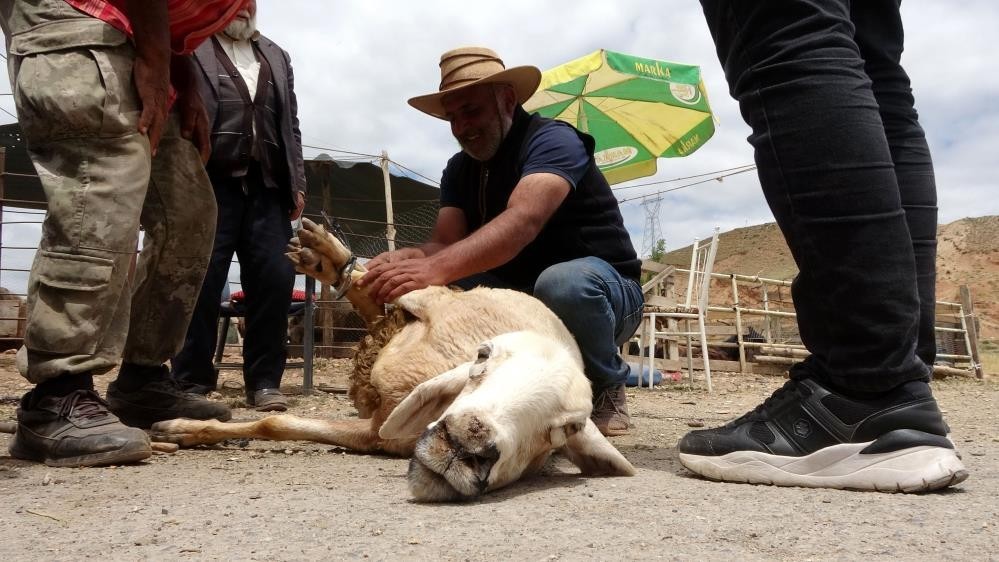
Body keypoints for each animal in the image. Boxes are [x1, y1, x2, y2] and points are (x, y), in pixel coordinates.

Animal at [150, 218, 632, 498]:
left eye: (566, 430)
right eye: (482, 358)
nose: (465, 443)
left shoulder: (376, 434)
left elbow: (279, 425)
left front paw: (184, 430)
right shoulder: (433, 304)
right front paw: (182, 427)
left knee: (376, 304)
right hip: (437, 292)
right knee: (378, 285)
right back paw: (327, 255)